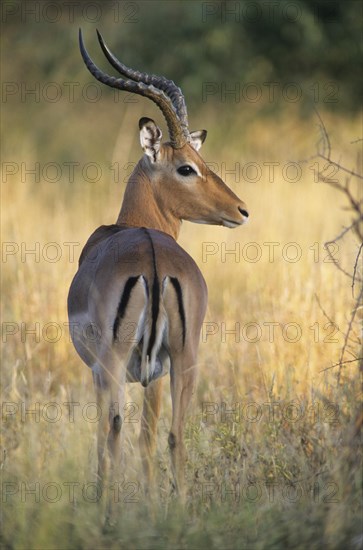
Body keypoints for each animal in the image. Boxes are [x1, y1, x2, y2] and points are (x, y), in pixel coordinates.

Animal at [68, 28, 250, 516]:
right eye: (187, 166)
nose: (242, 210)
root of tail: (153, 259)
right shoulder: (155, 372)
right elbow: (149, 439)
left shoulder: (100, 371)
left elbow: (107, 437)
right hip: (184, 360)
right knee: (173, 436)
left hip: (116, 362)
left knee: (113, 430)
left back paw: (108, 512)